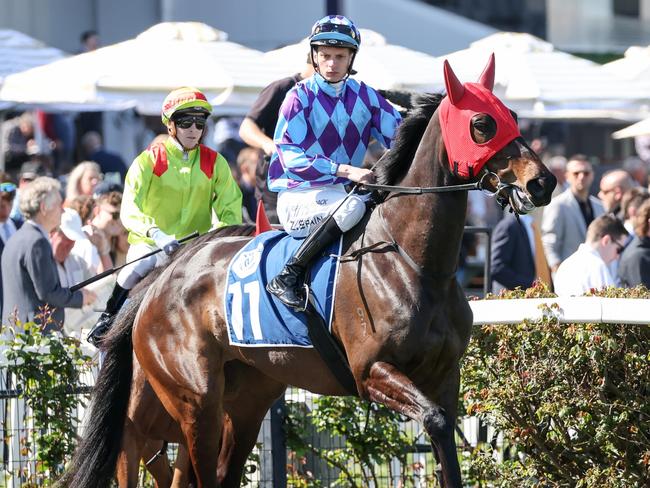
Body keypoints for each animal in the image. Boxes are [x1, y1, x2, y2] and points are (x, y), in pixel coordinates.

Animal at [59, 55, 552, 486]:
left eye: (511, 115)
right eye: (482, 124)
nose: (543, 182)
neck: (415, 263)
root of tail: (163, 278)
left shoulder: (444, 376)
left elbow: (446, 438)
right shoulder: (371, 371)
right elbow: (432, 419)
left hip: (247, 398)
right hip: (195, 401)